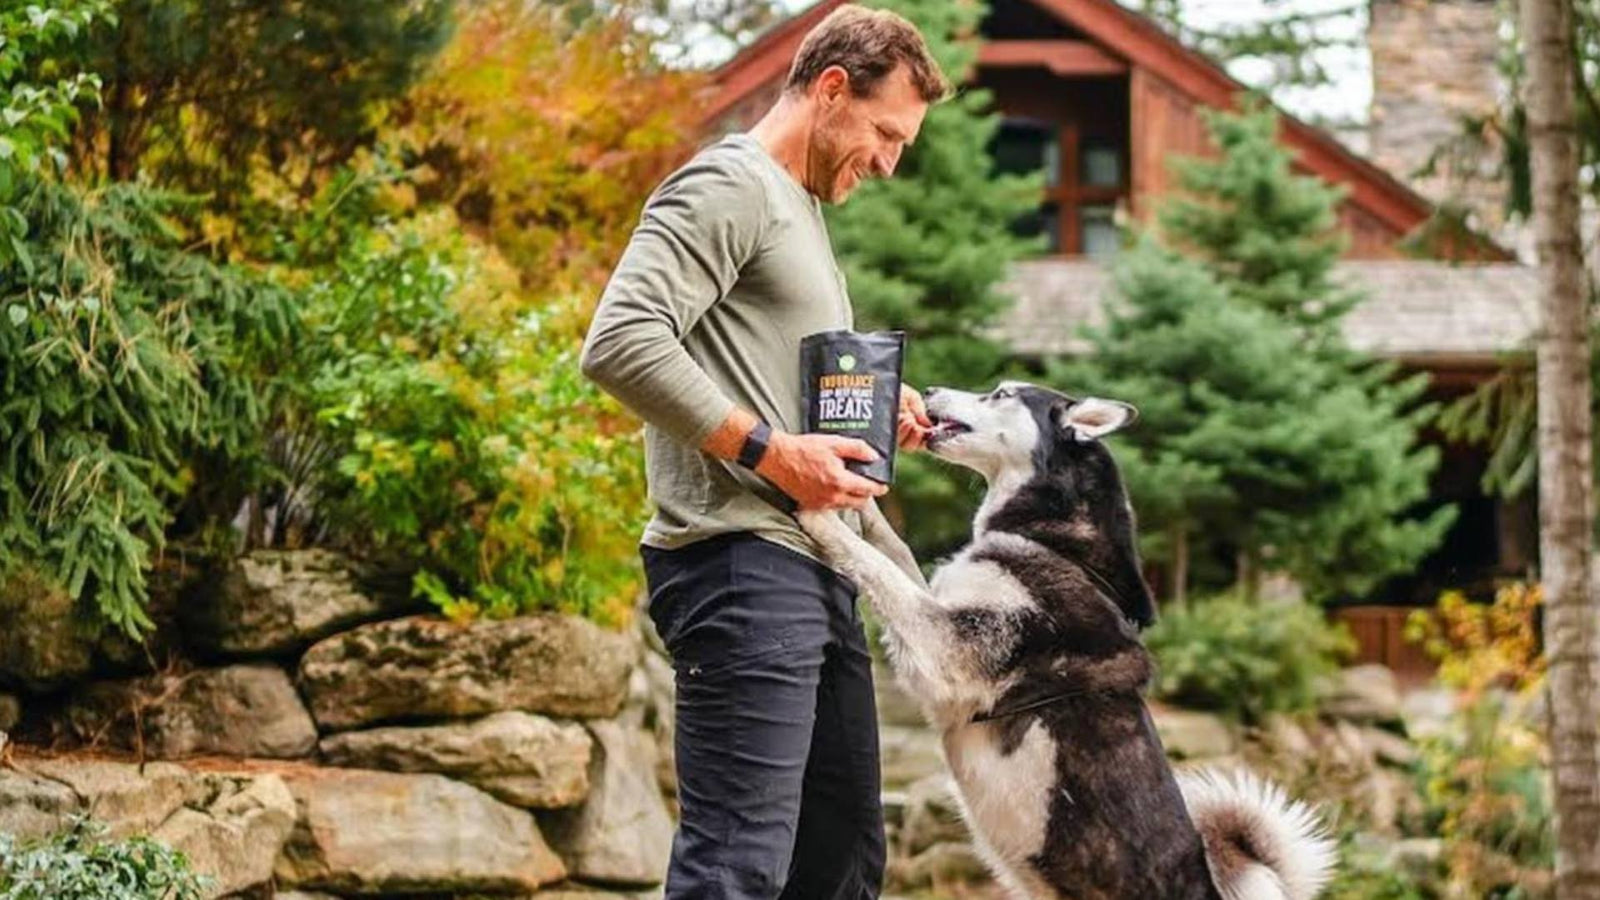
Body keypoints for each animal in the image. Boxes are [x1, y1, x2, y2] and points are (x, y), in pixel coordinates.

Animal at [800, 379, 1337, 896]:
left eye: (1001, 393)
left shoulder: (951, 649)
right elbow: (893, 552)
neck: (1054, 543)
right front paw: (853, 495)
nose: (927, 392)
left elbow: (880, 569)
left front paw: (815, 509)